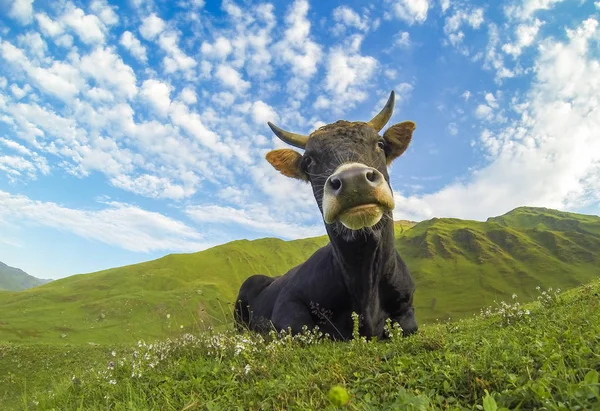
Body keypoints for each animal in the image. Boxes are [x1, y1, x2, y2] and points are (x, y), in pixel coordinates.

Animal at [234, 91, 418, 342]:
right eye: (308, 160)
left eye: (380, 144)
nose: (354, 181)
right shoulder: (288, 303)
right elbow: (300, 328)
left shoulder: (407, 308)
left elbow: (407, 327)